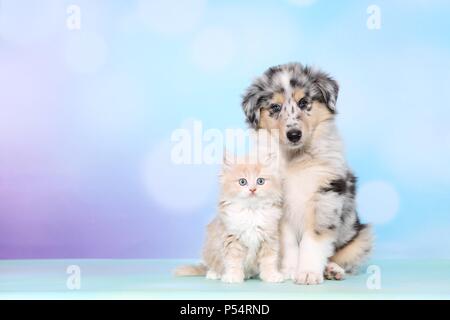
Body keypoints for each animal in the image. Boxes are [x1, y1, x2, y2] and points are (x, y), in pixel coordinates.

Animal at [174, 152, 284, 282]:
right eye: (242, 182)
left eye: (260, 181)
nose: (252, 189)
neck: (251, 211)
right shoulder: (231, 237)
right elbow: (233, 261)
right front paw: (233, 276)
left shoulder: (269, 238)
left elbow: (269, 260)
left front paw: (271, 276)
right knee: (213, 266)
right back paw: (214, 274)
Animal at [241, 62, 374, 284]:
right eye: (275, 107)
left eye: (304, 102)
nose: (294, 134)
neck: (295, 159)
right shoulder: (280, 207)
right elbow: (288, 243)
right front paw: (290, 270)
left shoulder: (325, 196)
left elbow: (313, 240)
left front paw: (308, 273)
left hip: (362, 237)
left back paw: (332, 269)